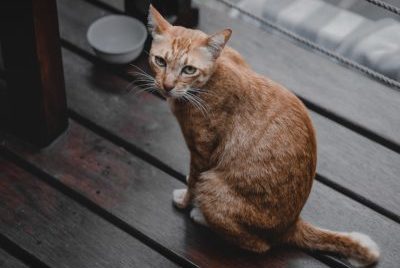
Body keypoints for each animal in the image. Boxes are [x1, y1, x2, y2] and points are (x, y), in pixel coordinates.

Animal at [146, 5, 378, 266]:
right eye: (160, 61)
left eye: (189, 69)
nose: (167, 86)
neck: (209, 81)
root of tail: (292, 224)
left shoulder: (201, 152)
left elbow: (193, 183)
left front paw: (185, 201)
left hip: (213, 185)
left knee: (259, 245)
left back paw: (201, 216)